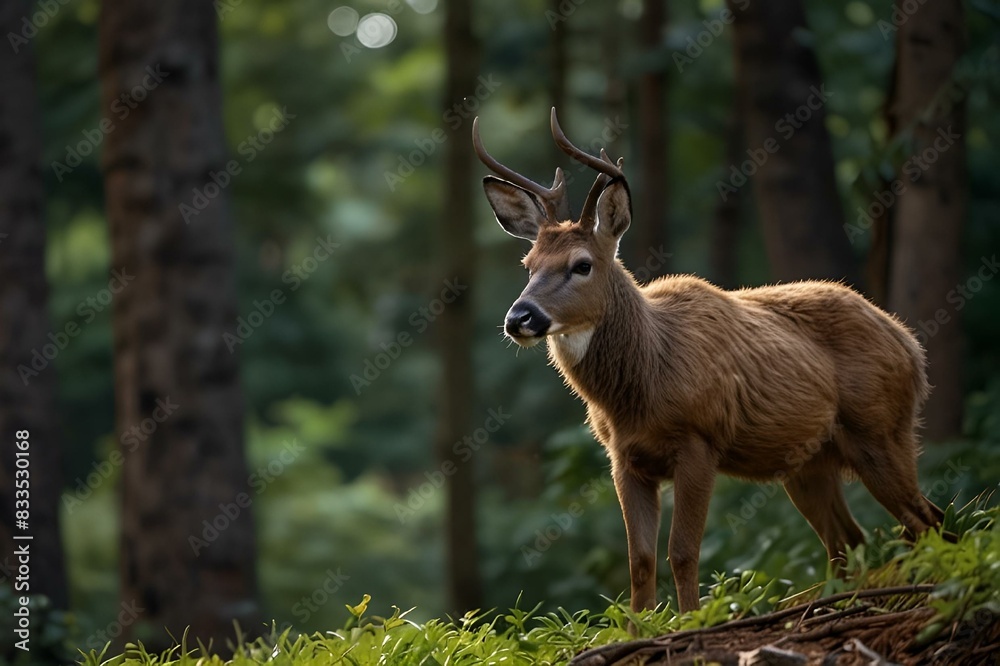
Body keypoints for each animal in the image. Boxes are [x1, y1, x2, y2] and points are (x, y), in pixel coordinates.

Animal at [474, 107, 944, 612]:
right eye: (528, 265)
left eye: (582, 264)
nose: (519, 317)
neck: (643, 380)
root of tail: (909, 345)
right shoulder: (624, 459)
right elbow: (640, 561)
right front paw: (640, 626)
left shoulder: (699, 440)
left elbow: (682, 551)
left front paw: (691, 620)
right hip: (809, 462)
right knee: (852, 539)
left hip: (881, 428)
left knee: (924, 519)